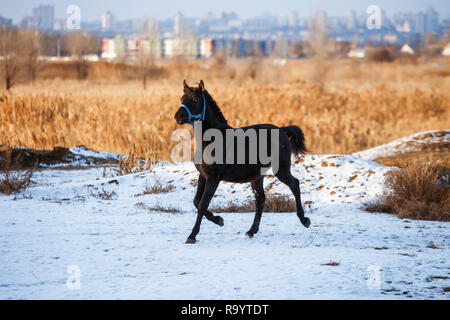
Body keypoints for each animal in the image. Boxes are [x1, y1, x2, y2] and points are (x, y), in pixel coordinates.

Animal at [173, 80, 310, 242]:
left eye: (195, 100)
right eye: (182, 99)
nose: (178, 116)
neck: (211, 140)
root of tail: (282, 130)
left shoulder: (213, 178)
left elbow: (202, 205)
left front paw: (192, 236)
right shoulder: (203, 175)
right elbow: (196, 202)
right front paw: (219, 220)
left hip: (281, 169)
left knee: (294, 185)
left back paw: (305, 220)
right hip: (257, 176)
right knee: (260, 199)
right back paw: (251, 231)